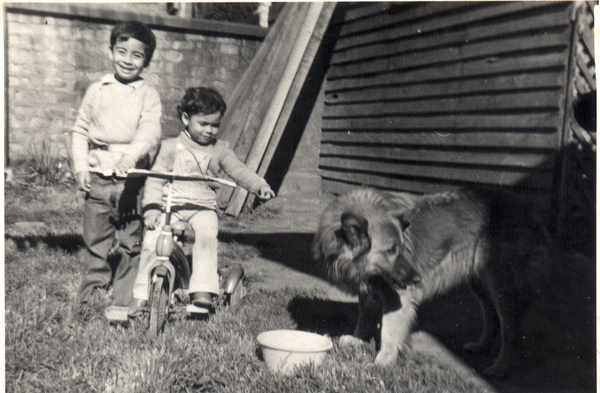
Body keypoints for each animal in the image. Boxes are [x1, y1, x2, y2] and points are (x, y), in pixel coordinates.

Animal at [312, 187, 548, 376]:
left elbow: (388, 331)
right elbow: (365, 315)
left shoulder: (397, 298)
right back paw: (481, 346)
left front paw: (382, 361)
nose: (417, 278)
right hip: (479, 283)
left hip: (500, 284)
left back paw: (501, 367)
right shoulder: (367, 288)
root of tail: (525, 206)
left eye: (401, 248)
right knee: (491, 317)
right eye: (390, 251)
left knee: (510, 328)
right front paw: (357, 338)